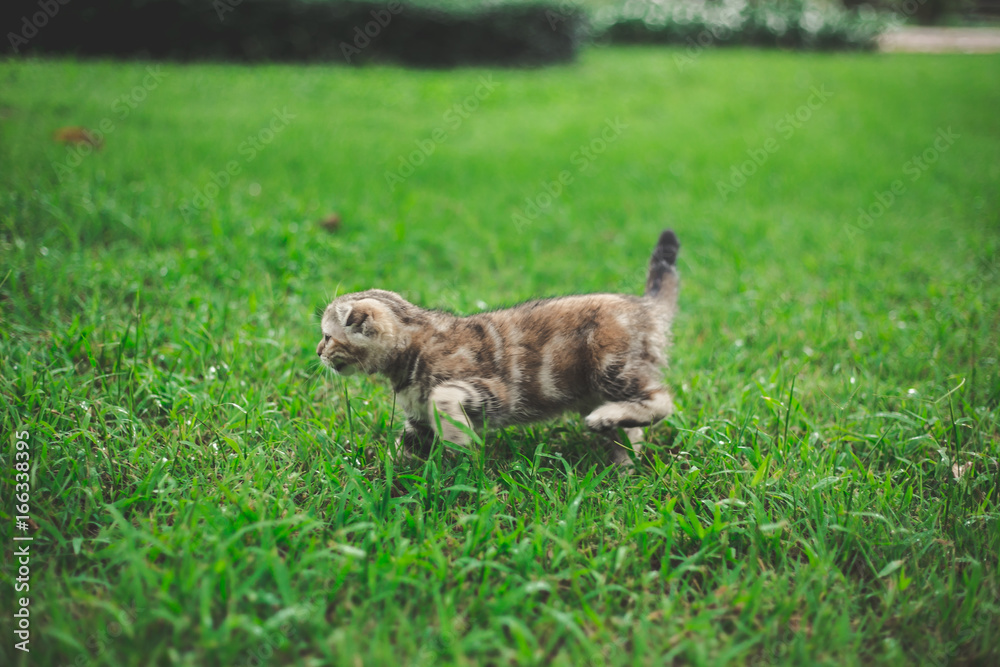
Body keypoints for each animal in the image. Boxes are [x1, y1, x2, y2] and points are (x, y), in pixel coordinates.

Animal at [318, 230, 680, 464]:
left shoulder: (496, 391)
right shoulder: (417, 422)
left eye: (326, 336)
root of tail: (646, 306)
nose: (318, 352)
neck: (412, 351)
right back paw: (622, 460)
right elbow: (403, 447)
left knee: (662, 400)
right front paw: (380, 476)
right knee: (634, 431)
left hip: (612, 365)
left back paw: (607, 419)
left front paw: (458, 443)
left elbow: (443, 397)